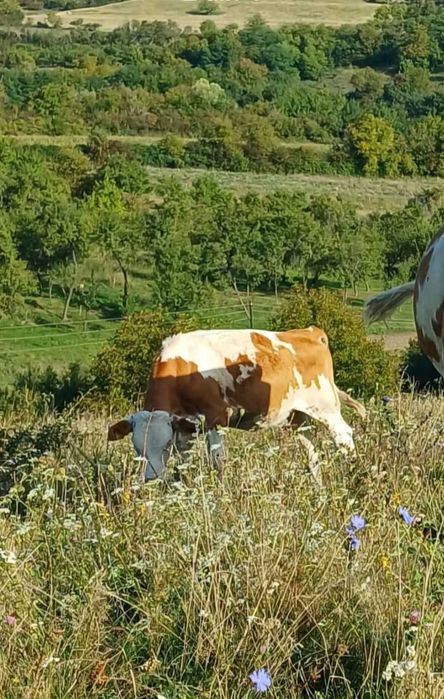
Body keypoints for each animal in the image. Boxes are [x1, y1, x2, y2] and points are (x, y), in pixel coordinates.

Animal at [107, 326, 366, 484]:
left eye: (164, 447)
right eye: (137, 449)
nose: (151, 479)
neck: (181, 370)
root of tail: (310, 331)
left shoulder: (215, 417)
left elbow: (217, 463)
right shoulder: (184, 426)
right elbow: (183, 465)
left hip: (326, 406)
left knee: (344, 437)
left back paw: (356, 476)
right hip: (298, 416)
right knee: (310, 449)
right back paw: (318, 486)